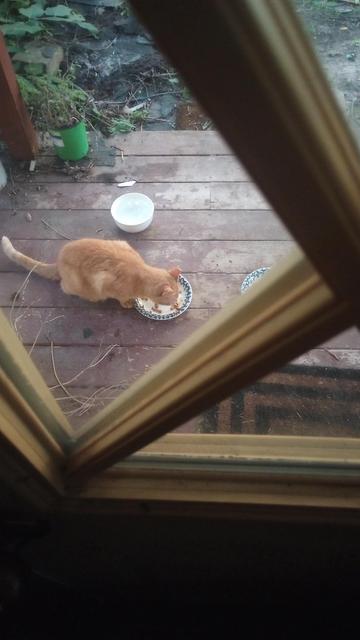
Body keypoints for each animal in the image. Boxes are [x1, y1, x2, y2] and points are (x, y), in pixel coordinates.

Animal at [2, 236, 181, 308]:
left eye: (179, 294)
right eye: (172, 298)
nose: (176, 303)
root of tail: (59, 261)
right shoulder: (107, 284)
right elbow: (121, 298)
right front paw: (127, 303)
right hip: (74, 284)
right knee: (63, 287)